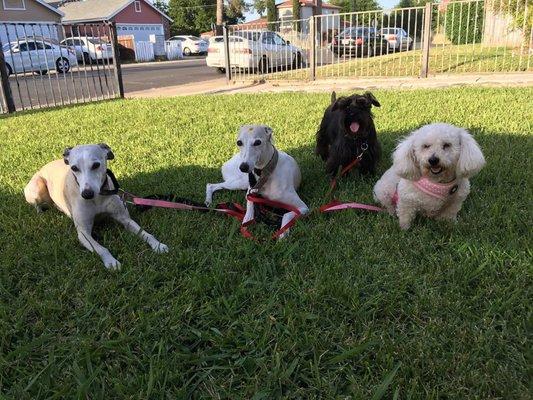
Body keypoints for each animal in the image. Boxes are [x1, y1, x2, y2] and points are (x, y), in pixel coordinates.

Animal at [23, 144, 166, 268]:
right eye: (74, 168)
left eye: (96, 165)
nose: (87, 194)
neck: (98, 198)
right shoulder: (83, 233)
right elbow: (101, 248)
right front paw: (112, 262)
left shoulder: (125, 218)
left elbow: (145, 233)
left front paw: (158, 245)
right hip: (37, 188)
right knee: (37, 205)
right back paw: (42, 213)